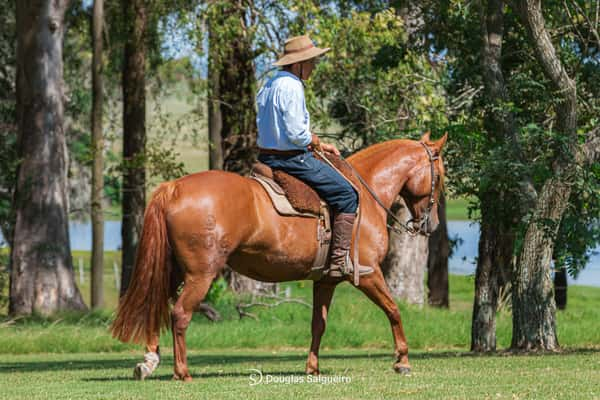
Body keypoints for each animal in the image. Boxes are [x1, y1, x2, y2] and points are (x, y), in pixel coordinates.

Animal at [111, 132, 446, 382]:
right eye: (440, 177)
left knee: (154, 306)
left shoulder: (326, 281)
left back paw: (148, 362)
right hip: (200, 274)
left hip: (173, 271)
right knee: (179, 314)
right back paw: (182, 372)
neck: (364, 193)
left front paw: (312, 367)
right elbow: (393, 310)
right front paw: (402, 360)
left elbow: (318, 324)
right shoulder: (368, 274)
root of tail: (174, 188)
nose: (431, 225)